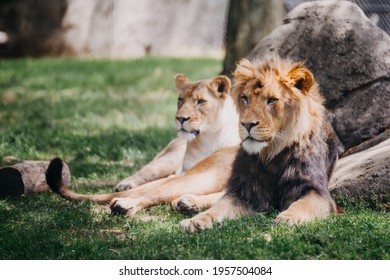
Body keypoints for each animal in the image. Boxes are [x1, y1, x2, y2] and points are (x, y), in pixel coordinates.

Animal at [181, 57, 340, 232]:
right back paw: (188, 201)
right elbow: (220, 206)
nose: (246, 124)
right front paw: (196, 220)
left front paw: (287, 218)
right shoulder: (245, 190)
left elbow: (302, 204)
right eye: (245, 98)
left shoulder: (316, 191)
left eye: (271, 100)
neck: (272, 155)